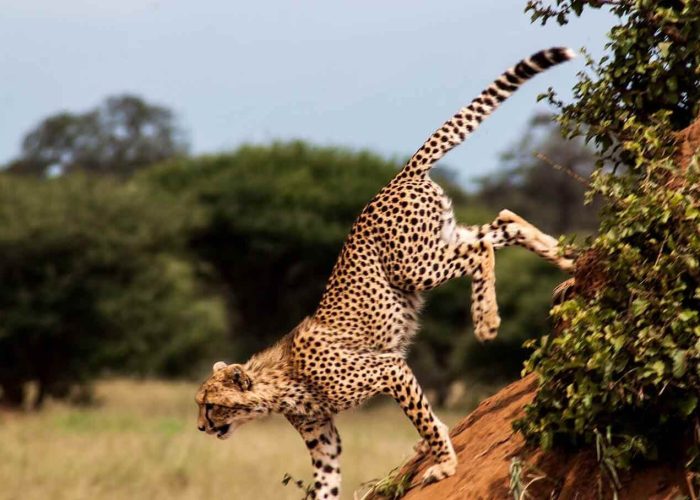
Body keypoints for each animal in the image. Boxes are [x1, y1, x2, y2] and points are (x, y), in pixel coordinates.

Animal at [196, 47, 576, 499]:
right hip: (439, 239)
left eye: (211, 404)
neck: (278, 380)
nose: (201, 428)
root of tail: (397, 176)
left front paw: (444, 463)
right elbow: (325, 485)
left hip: (416, 266)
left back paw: (487, 320)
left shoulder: (388, 369)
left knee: (482, 249)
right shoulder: (324, 438)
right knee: (503, 222)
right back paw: (563, 256)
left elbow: (424, 419)